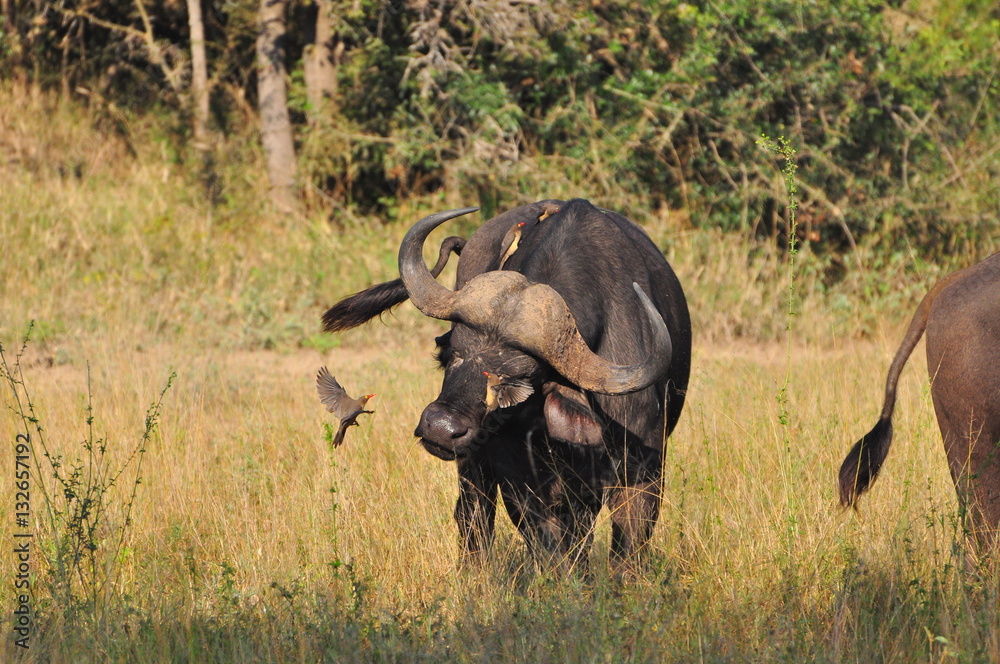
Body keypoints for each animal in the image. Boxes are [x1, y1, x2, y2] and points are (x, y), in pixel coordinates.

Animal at [323, 199, 691, 574]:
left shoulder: (642, 467)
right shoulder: (515, 471)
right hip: (472, 462)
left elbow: (628, 538)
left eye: (518, 380)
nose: (440, 428)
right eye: (455, 354)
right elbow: (543, 534)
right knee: (473, 513)